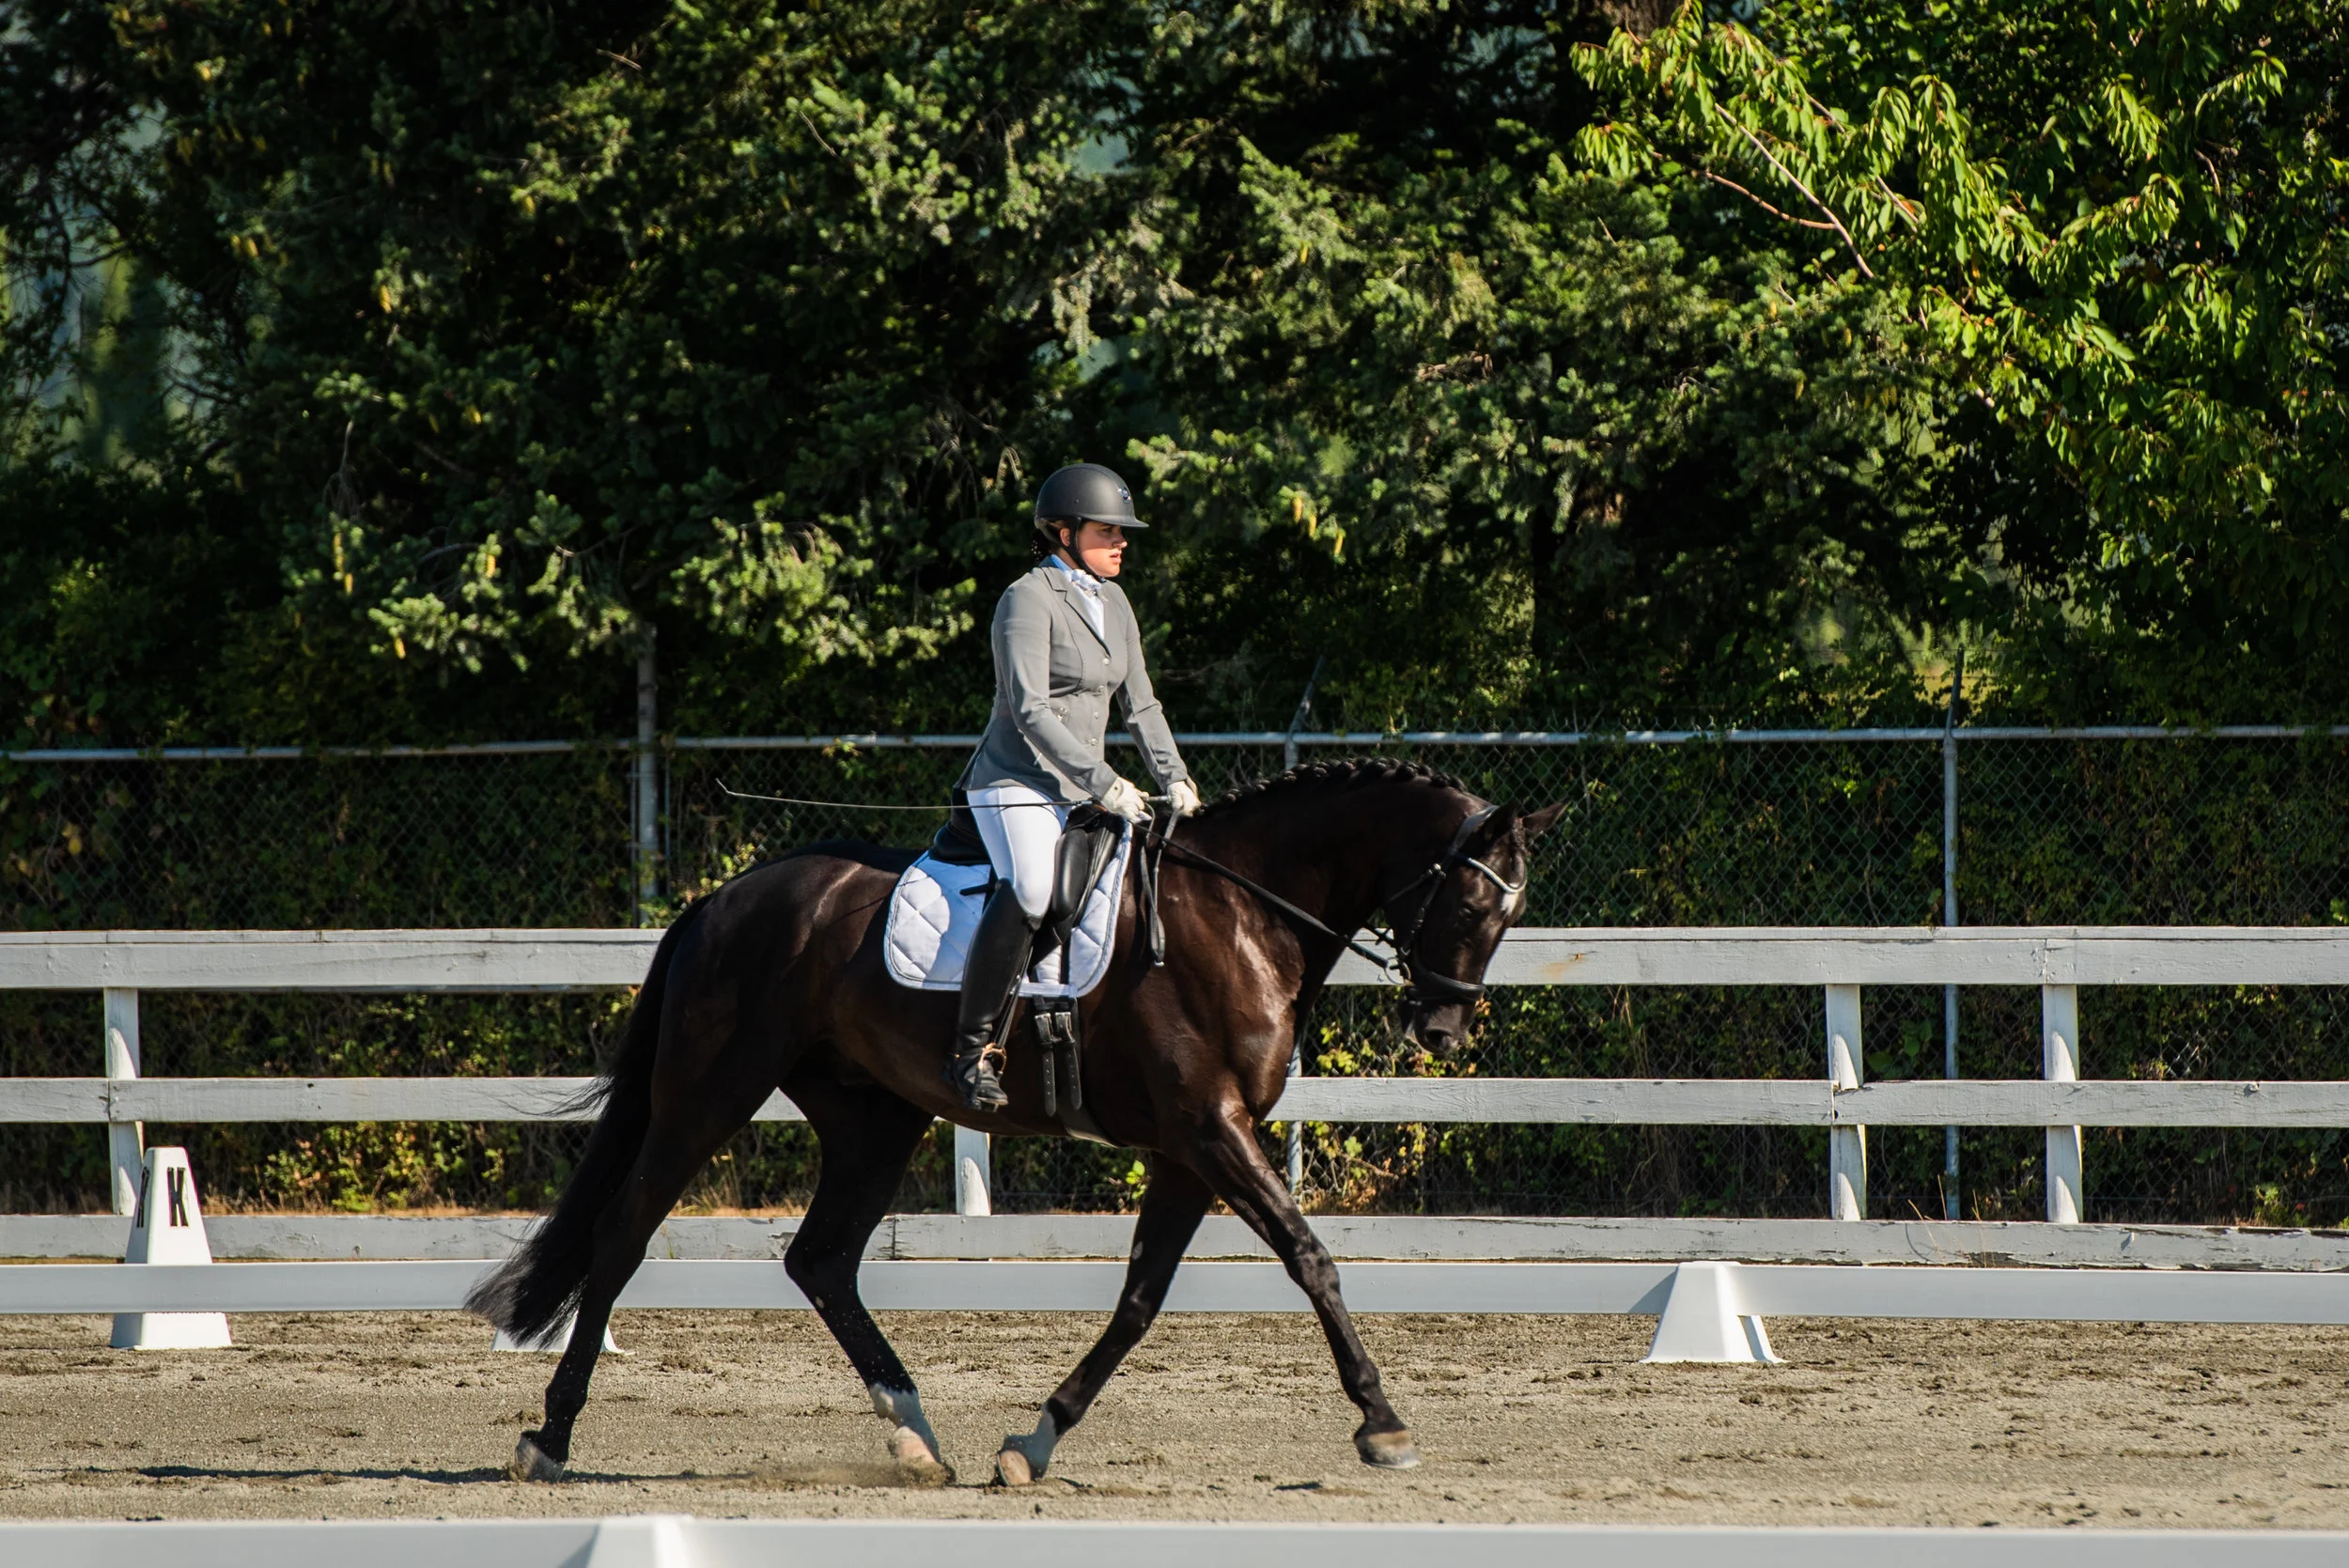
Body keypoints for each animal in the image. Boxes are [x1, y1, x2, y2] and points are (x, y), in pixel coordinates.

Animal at [468, 757, 1565, 1485]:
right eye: (1472, 903)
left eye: (1509, 916)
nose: (1440, 1027)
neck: (1241, 917)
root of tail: (723, 897)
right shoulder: (1209, 1129)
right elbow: (1310, 1256)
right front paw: (1382, 1422)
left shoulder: (1192, 1148)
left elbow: (1140, 1298)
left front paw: (1034, 1439)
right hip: (710, 1091)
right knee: (623, 1235)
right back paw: (549, 1437)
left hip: (876, 1120)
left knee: (821, 1258)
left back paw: (915, 1436)